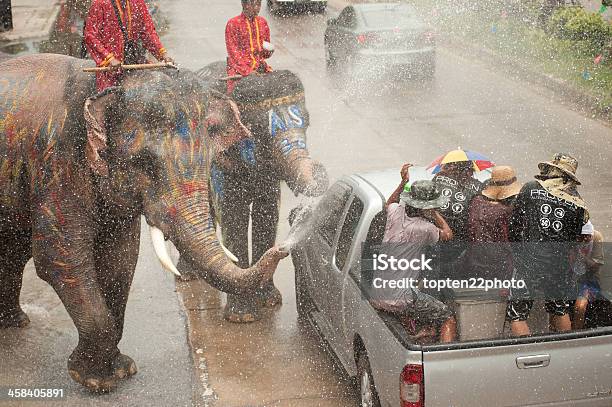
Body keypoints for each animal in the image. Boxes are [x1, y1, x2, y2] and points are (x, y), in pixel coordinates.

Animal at [0, 53, 288, 392]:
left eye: (208, 159)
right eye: (144, 164)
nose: (284, 249)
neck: (102, 87)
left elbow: (120, 260)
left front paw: (122, 370)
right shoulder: (55, 166)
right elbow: (61, 261)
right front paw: (94, 381)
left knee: (13, 251)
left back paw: (15, 322)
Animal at [195, 62, 330, 324]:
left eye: (307, 123)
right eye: (259, 131)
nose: (319, 169)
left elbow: (267, 214)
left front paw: (270, 301)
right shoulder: (220, 163)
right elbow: (233, 216)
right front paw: (243, 317)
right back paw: (188, 276)